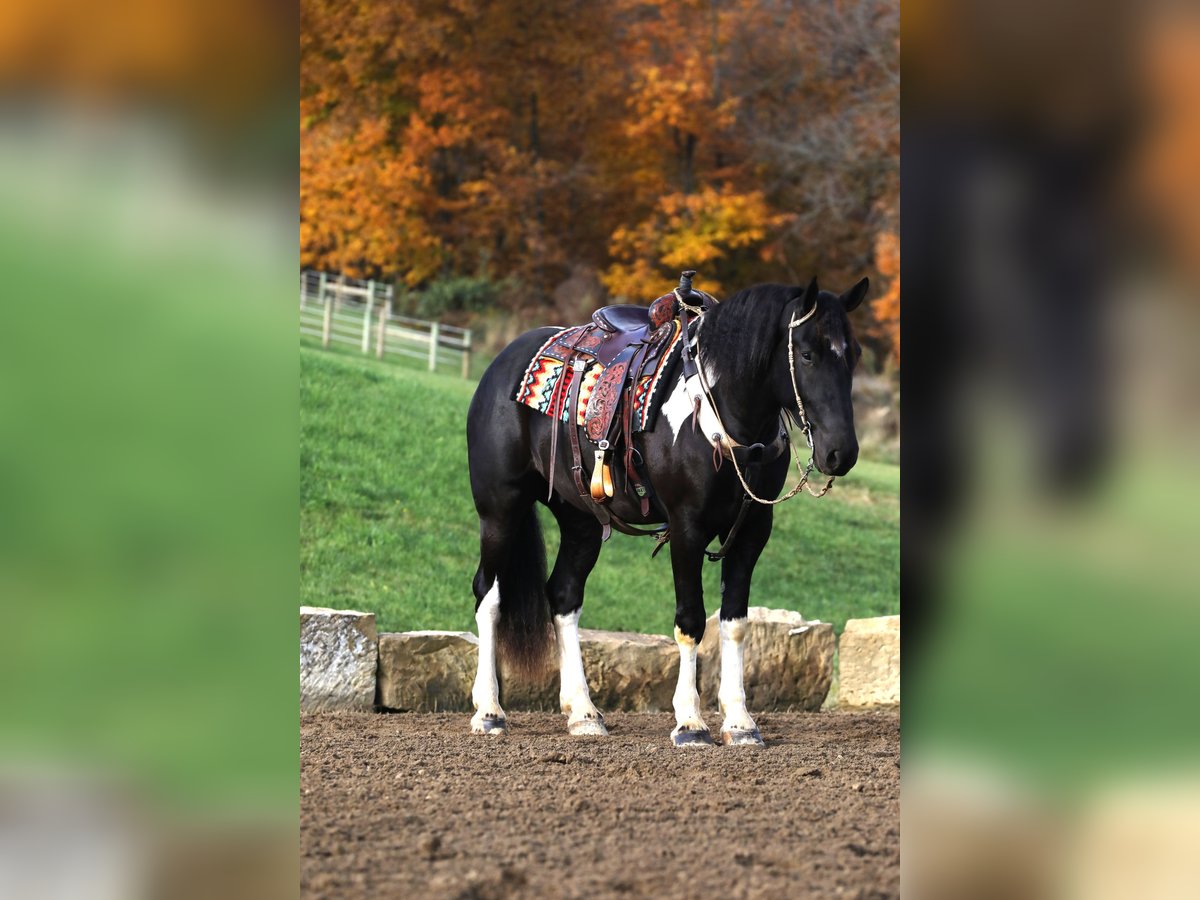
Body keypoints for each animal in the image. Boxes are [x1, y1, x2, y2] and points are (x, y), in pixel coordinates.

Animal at [463, 277, 868, 748]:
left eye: (854, 354)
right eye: (806, 354)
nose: (841, 453)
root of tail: (504, 360)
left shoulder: (752, 532)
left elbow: (735, 622)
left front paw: (740, 721)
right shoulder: (686, 528)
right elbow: (690, 620)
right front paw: (690, 722)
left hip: (581, 520)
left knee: (563, 597)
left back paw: (583, 713)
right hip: (500, 509)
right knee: (489, 595)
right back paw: (489, 711)